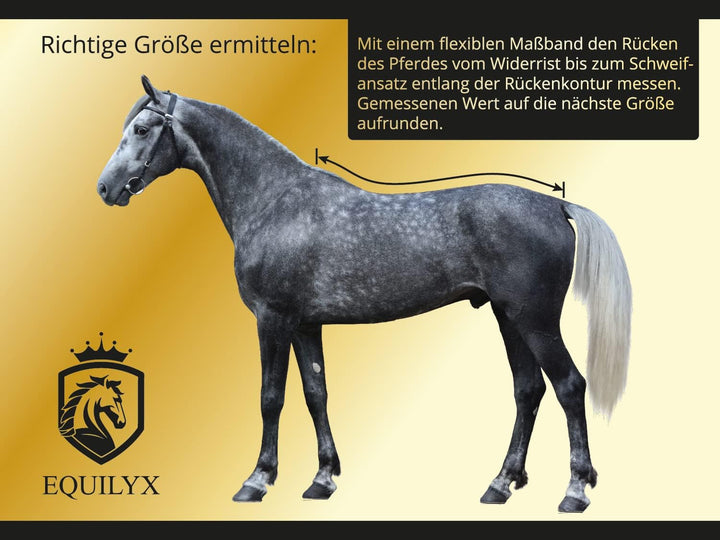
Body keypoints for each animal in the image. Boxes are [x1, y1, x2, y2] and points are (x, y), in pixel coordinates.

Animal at [96, 75, 632, 512]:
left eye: (142, 129)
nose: (105, 188)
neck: (274, 200)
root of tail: (556, 204)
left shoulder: (272, 319)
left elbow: (271, 397)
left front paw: (258, 480)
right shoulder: (305, 324)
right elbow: (315, 394)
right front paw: (323, 478)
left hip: (535, 320)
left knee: (569, 387)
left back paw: (575, 491)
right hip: (508, 317)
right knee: (528, 390)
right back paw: (501, 483)